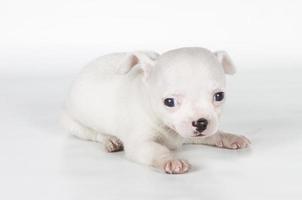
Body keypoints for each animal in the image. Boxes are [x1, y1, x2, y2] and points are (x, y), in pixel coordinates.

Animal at [61, 46, 250, 173]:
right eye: (169, 102)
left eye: (219, 96)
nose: (201, 123)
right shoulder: (140, 145)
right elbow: (158, 150)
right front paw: (171, 160)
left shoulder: (188, 133)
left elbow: (214, 134)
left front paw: (230, 137)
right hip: (75, 124)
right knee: (94, 134)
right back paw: (110, 140)